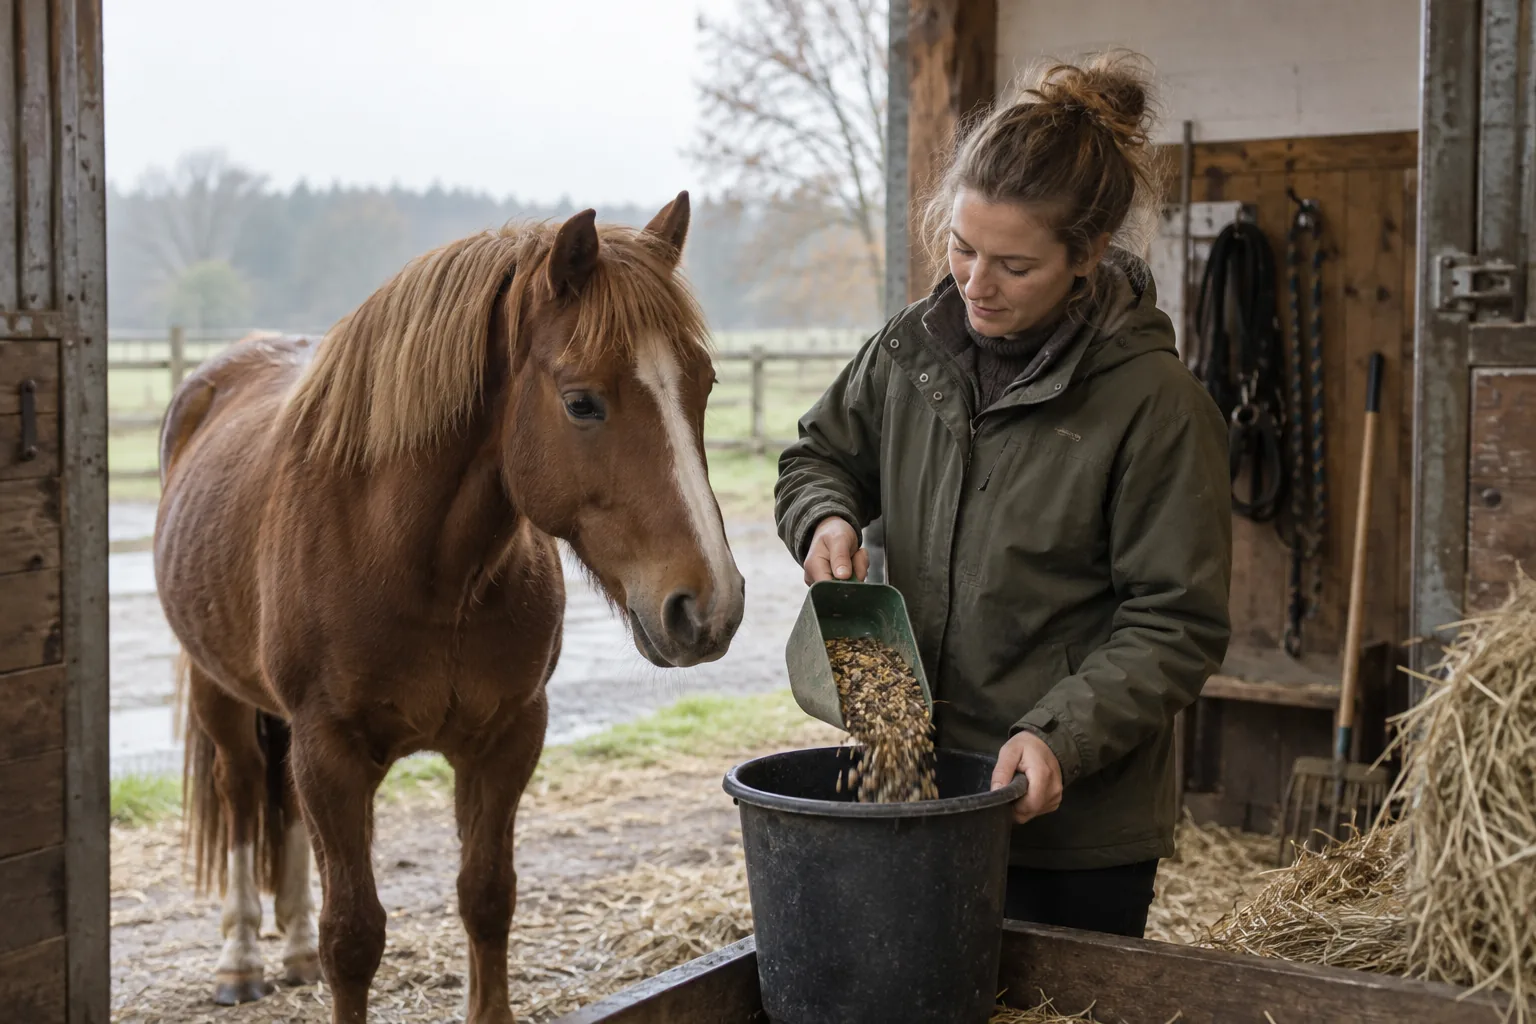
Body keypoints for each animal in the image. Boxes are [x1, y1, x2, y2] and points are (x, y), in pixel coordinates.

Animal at [152, 194, 746, 1024]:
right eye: (582, 402)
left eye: (704, 386)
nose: (709, 604)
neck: (419, 563)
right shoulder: (330, 750)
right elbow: (353, 935)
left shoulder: (505, 739)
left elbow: (487, 898)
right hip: (221, 696)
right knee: (241, 799)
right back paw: (240, 959)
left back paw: (292, 951)